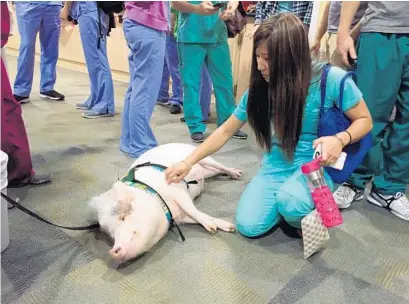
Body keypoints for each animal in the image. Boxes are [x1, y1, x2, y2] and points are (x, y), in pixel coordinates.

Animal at [87, 142, 241, 266]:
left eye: (123, 217)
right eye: (111, 234)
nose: (112, 252)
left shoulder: (177, 192)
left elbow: (192, 210)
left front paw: (213, 228)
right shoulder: (180, 217)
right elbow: (194, 216)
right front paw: (228, 227)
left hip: (204, 157)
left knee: (220, 166)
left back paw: (237, 174)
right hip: (207, 172)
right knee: (216, 171)